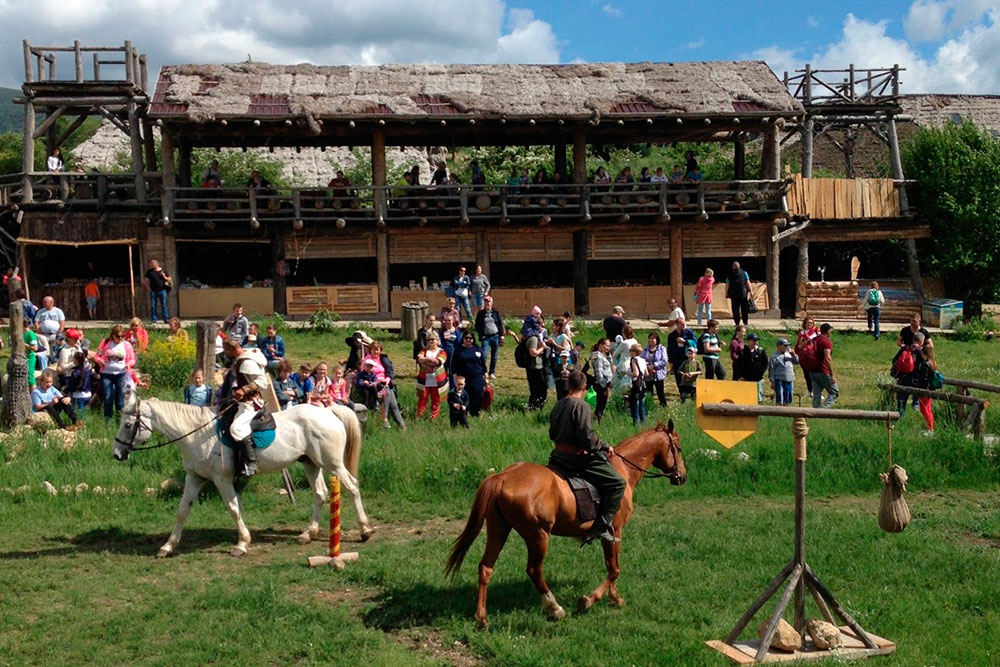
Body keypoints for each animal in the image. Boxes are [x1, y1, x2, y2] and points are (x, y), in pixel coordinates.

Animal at [113, 392, 372, 560]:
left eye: (127, 424)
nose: (117, 454)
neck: (196, 435)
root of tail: (327, 411)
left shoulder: (222, 480)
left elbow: (233, 508)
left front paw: (242, 544)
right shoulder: (194, 477)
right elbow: (183, 510)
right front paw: (168, 547)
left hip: (333, 464)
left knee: (352, 486)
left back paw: (365, 530)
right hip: (311, 464)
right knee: (320, 493)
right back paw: (307, 534)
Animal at [448, 422, 688, 628]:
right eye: (677, 447)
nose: (682, 477)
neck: (623, 470)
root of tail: (503, 476)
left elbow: (612, 566)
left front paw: (615, 598)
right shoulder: (614, 530)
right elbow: (614, 569)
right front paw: (590, 600)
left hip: (499, 530)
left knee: (486, 567)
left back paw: (482, 617)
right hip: (538, 536)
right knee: (534, 570)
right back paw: (555, 608)